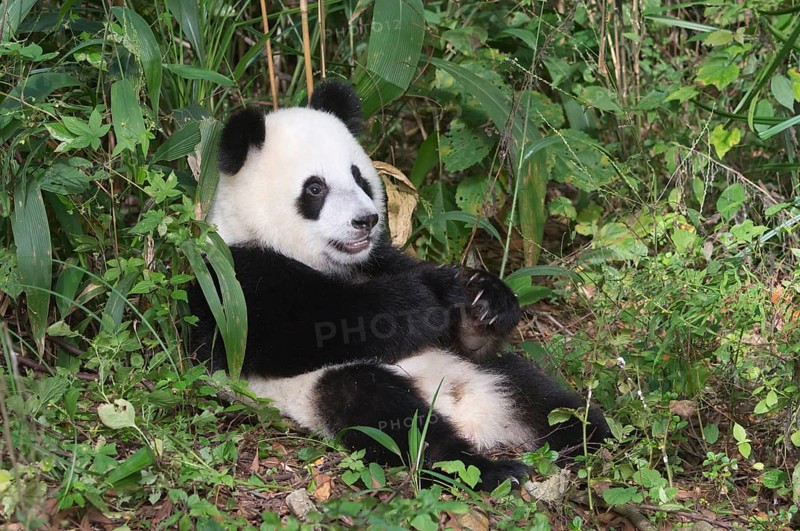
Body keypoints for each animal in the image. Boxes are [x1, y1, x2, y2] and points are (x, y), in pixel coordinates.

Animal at [188, 80, 609, 490]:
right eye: (315, 189)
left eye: (359, 177)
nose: (366, 221)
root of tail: (473, 413)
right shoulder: (232, 280)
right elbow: (298, 332)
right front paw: (427, 300)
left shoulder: (380, 259)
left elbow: (459, 324)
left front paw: (484, 301)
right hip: (322, 389)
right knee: (393, 417)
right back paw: (488, 470)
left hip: (491, 372)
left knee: (543, 397)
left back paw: (597, 439)